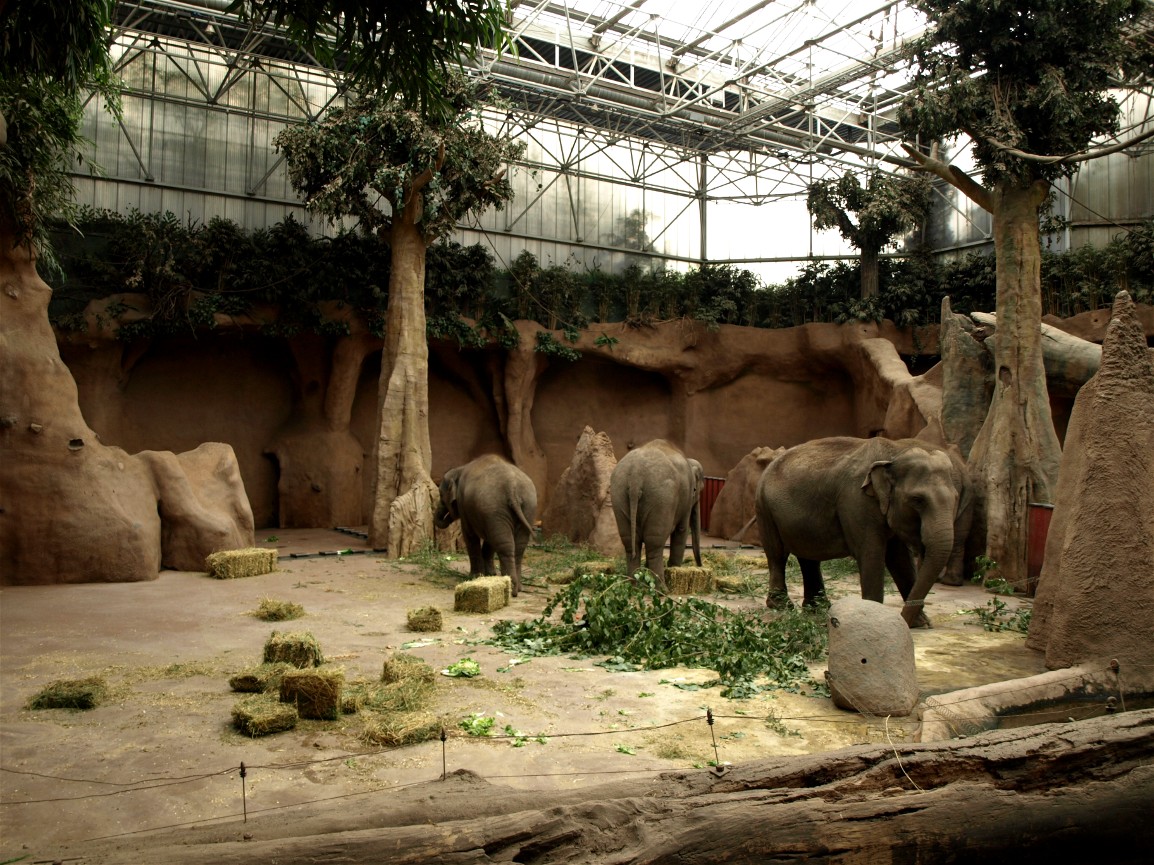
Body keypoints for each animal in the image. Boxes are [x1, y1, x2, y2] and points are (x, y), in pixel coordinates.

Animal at [433, 454, 538, 596]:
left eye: (440, 494)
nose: (448, 516)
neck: (460, 468)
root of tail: (512, 487)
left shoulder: (466, 507)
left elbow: (470, 536)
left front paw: (474, 577)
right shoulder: (488, 518)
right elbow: (490, 542)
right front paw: (490, 575)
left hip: (495, 508)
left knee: (505, 545)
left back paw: (511, 588)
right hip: (525, 508)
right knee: (517, 547)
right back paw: (517, 588)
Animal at [609, 439, 704, 590]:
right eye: (698, 490)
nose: (701, 566)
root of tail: (636, 477)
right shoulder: (686, 497)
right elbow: (681, 530)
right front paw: (674, 568)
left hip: (618, 494)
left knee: (631, 543)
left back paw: (633, 586)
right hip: (661, 499)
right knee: (654, 544)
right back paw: (662, 589)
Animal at [755, 436, 974, 628]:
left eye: (956, 498)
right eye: (918, 500)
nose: (904, 617)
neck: (894, 453)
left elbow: (900, 559)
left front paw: (920, 623)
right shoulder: (856, 501)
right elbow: (872, 554)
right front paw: (875, 619)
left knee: (808, 557)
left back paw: (818, 608)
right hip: (765, 508)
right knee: (777, 554)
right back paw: (782, 606)